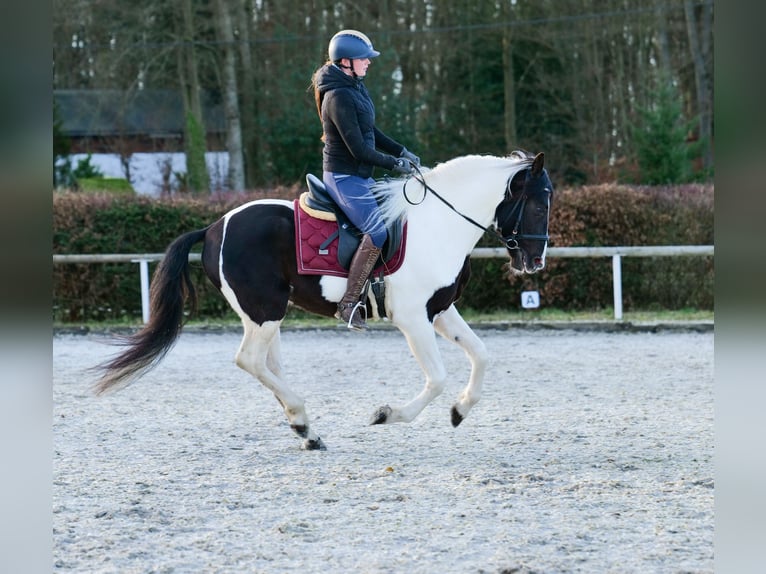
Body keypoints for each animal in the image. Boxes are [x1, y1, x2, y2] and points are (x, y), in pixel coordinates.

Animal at [96, 151, 556, 452]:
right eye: (537, 203)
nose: (535, 261)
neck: (439, 224)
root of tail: (213, 227)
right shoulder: (412, 319)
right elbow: (438, 377)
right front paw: (386, 414)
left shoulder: (440, 311)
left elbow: (481, 354)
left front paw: (460, 411)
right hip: (265, 311)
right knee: (249, 360)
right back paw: (302, 419)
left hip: (264, 315)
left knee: (268, 366)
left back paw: (305, 429)